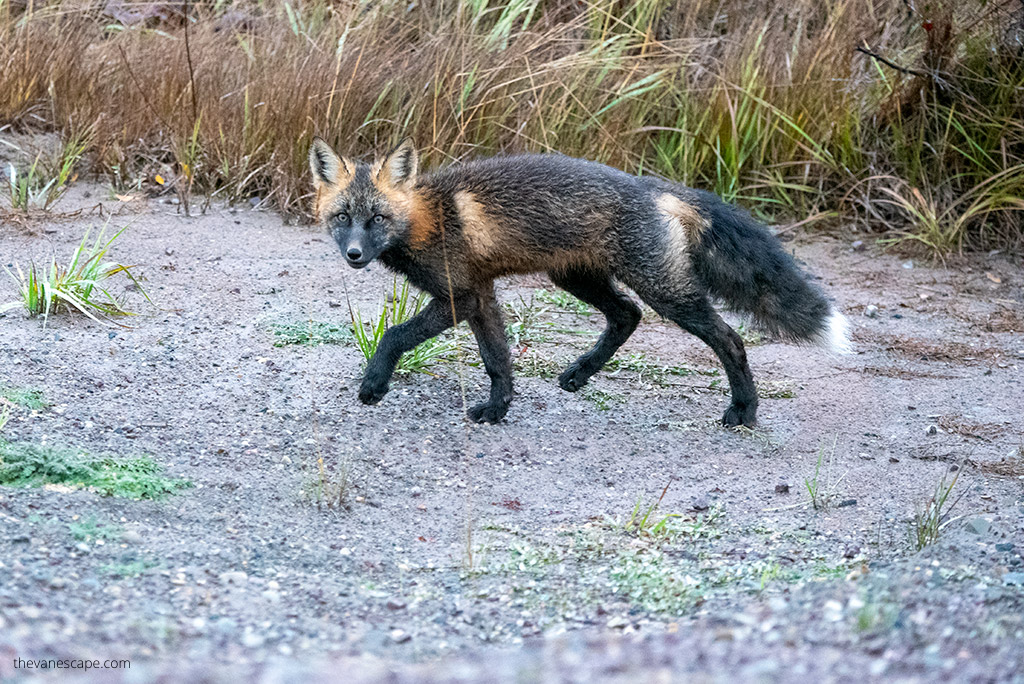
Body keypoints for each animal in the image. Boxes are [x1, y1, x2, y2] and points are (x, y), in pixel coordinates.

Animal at [305, 137, 847, 428]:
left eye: (377, 218)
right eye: (342, 217)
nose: (354, 255)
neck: (426, 219)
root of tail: (652, 185)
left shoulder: (458, 295)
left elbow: (396, 336)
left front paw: (374, 385)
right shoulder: (481, 295)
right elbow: (498, 360)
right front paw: (498, 410)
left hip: (665, 292)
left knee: (729, 339)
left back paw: (744, 411)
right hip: (576, 278)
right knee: (627, 314)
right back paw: (580, 373)